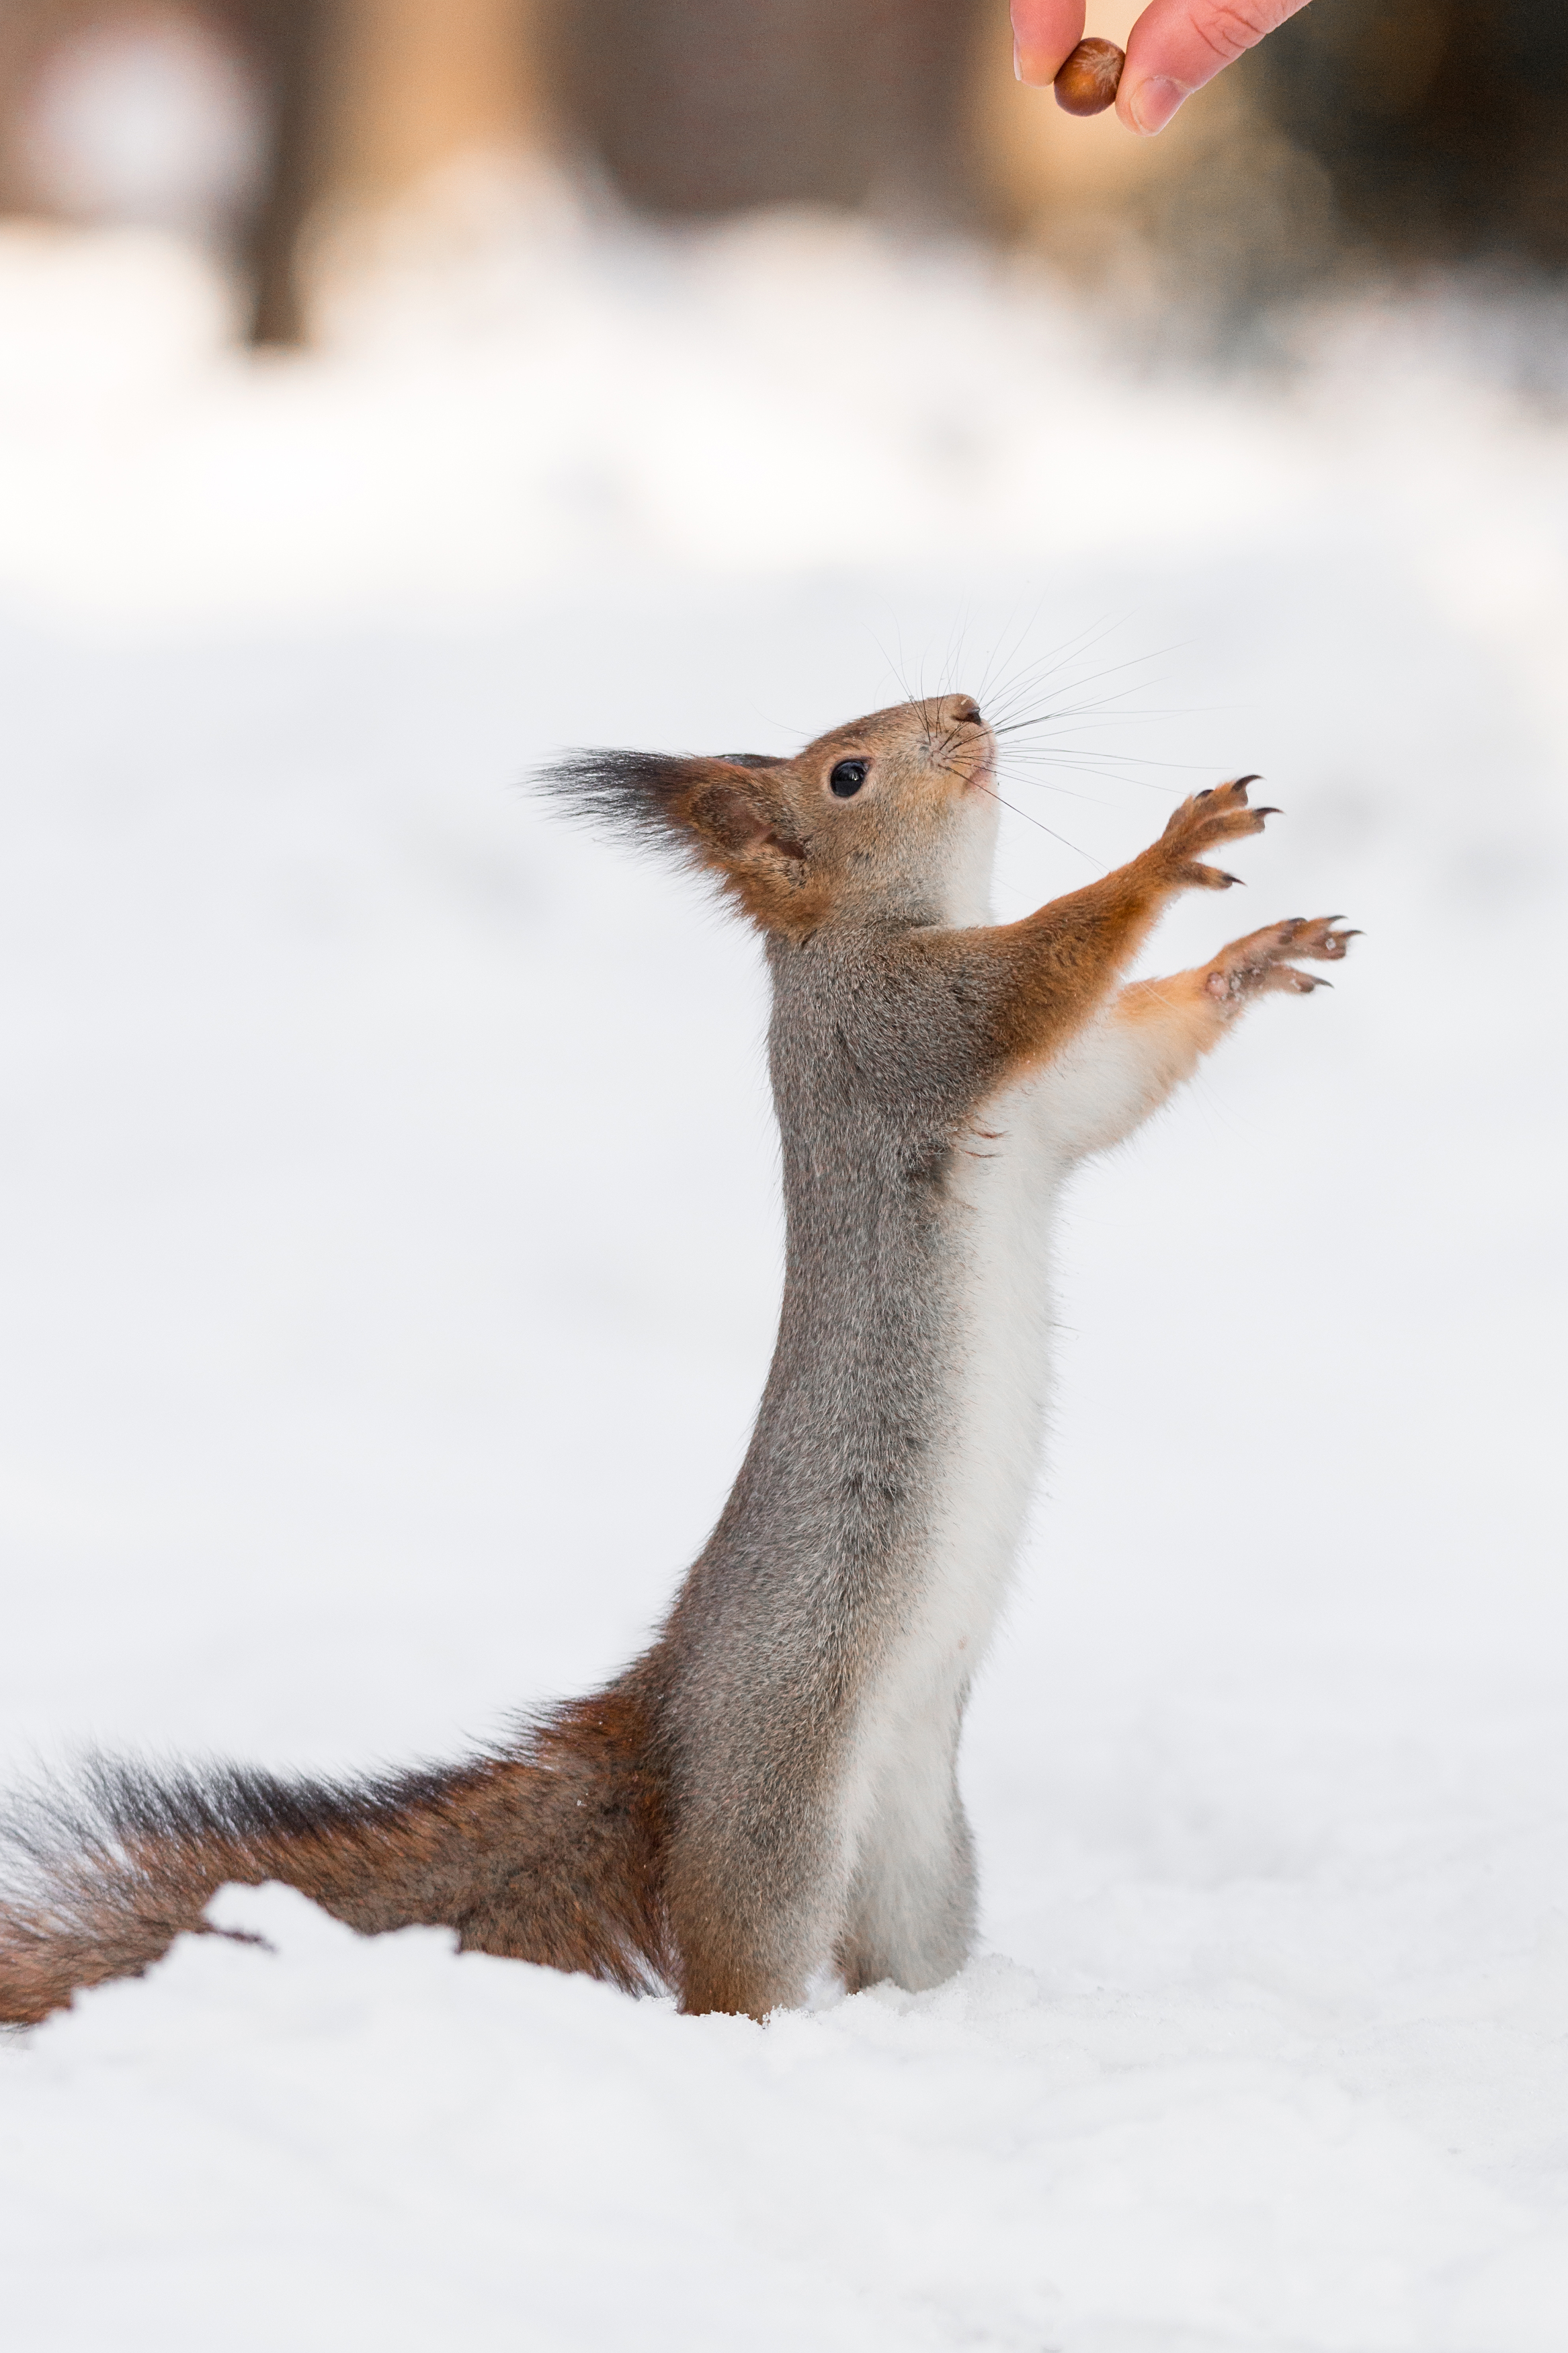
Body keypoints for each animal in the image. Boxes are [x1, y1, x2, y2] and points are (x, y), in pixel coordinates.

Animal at [0, 692, 1354, 2024]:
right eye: (848, 775)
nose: (968, 709)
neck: (864, 930)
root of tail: (669, 1728)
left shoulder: (1058, 1100)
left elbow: (1126, 1065)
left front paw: (1255, 954)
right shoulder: (898, 1030)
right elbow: (1045, 963)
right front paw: (1174, 848)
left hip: (919, 1850)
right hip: (777, 1811)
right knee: (732, 1972)